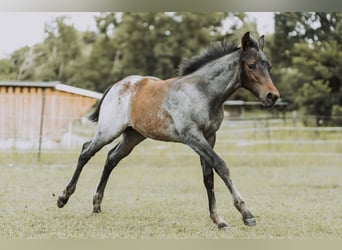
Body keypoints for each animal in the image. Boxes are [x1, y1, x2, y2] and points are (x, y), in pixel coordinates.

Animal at [57, 32, 280, 229]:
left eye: (268, 65)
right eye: (251, 65)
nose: (272, 96)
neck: (202, 93)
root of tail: (117, 85)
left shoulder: (209, 137)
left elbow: (208, 176)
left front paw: (219, 220)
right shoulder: (192, 136)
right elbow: (221, 166)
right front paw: (246, 214)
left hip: (133, 136)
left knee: (111, 158)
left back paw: (96, 205)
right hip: (108, 130)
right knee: (86, 151)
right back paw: (63, 197)